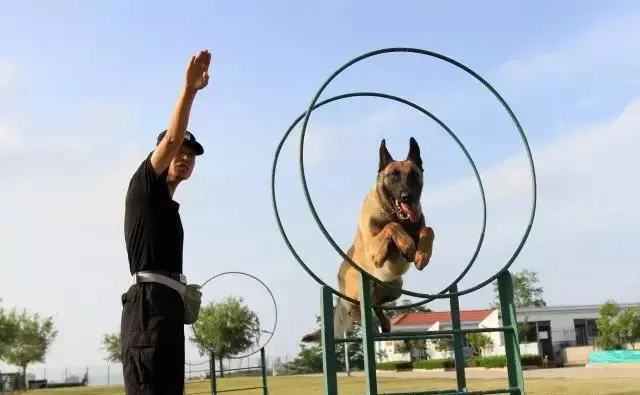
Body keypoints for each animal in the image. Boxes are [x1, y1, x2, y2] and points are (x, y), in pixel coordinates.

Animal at [302, 138, 436, 342]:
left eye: (414, 174)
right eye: (393, 175)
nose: (407, 197)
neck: (395, 213)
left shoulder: (420, 227)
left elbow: (428, 230)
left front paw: (423, 255)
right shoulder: (375, 250)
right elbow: (391, 226)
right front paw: (407, 245)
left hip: (396, 287)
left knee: (376, 305)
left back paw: (384, 322)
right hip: (356, 296)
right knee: (360, 311)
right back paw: (367, 321)